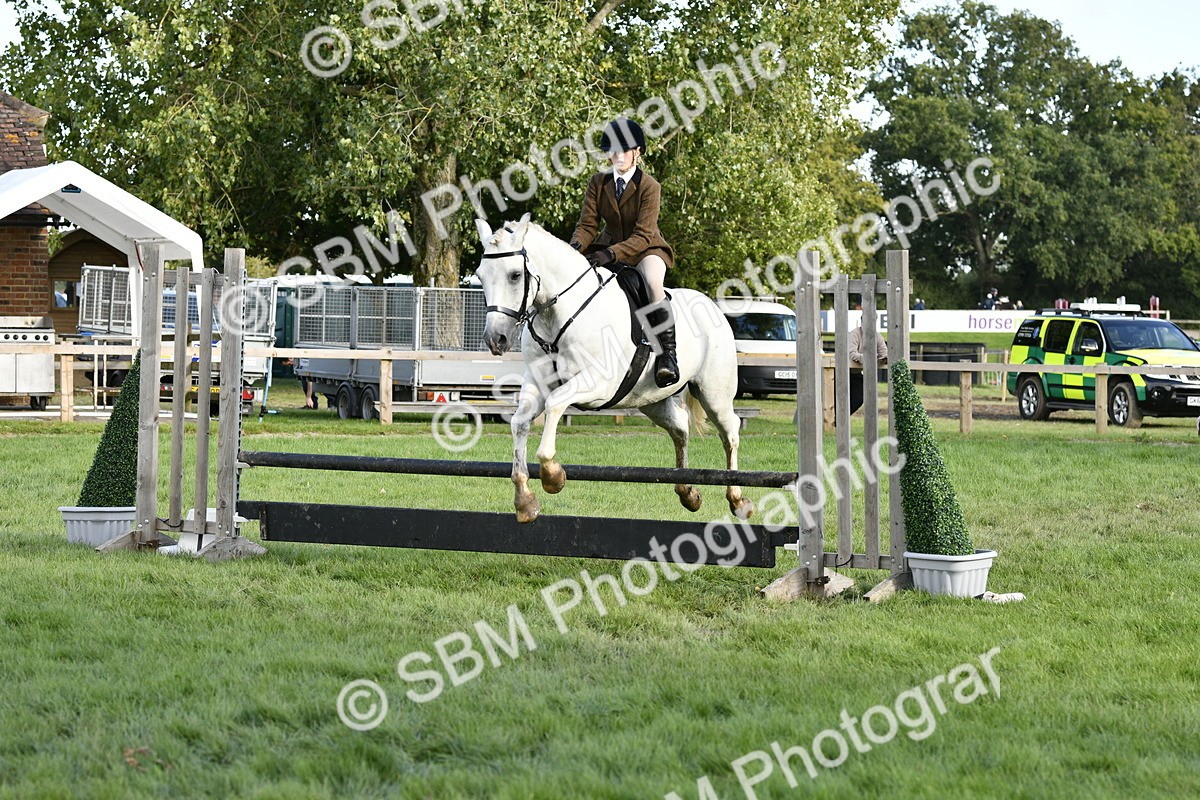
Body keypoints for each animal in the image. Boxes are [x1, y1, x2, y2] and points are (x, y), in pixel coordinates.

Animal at [474, 214, 755, 524]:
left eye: (514, 275)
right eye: (480, 276)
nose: (495, 339)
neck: (556, 314)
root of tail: (711, 305)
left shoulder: (597, 384)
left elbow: (555, 404)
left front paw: (553, 477)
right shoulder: (537, 383)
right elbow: (519, 423)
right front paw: (525, 501)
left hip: (713, 393)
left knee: (729, 432)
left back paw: (738, 498)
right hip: (650, 399)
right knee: (680, 426)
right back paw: (688, 492)